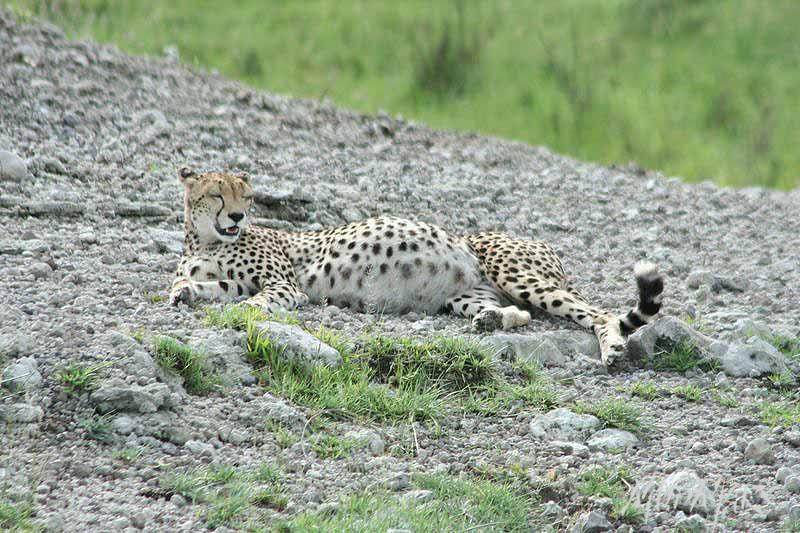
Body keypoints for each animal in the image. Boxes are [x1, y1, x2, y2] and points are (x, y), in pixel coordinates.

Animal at [172, 167, 664, 366]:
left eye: (246, 195)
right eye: (217, 194)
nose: (238, 216)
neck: (205, 240)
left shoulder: (286, 285)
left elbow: (259, 299)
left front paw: (244, 312)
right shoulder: (224, 278)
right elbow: (206, 289)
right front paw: (186, 293)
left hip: (515, 272)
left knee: (597, 312)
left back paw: (611, 347)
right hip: (467, 296)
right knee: (519, 314)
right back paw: (491, 321)